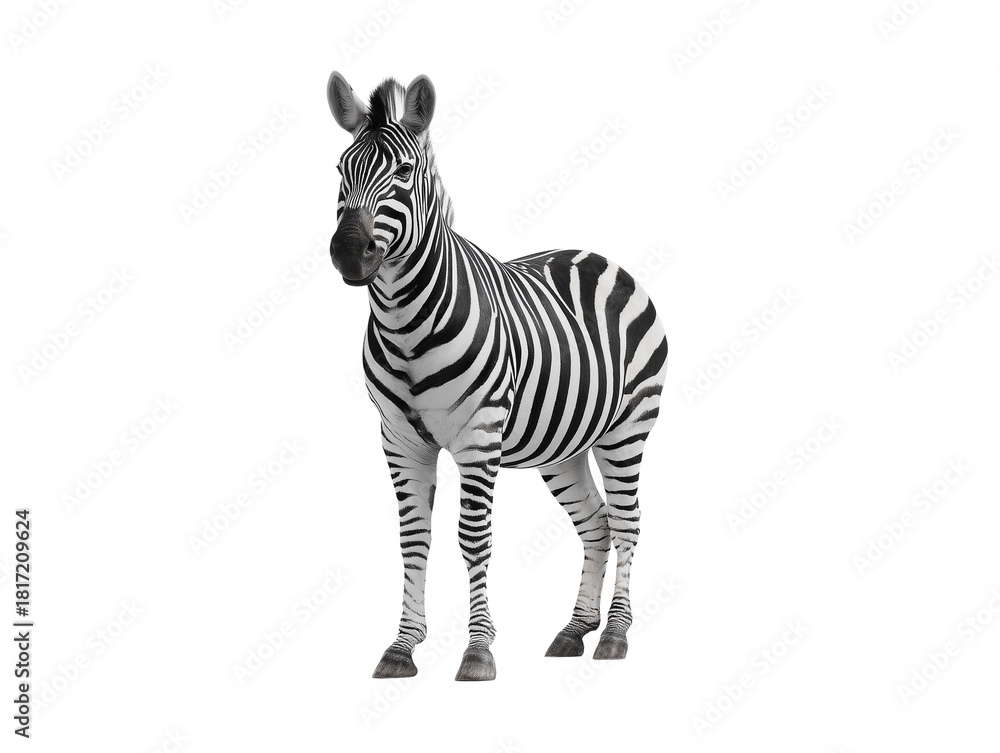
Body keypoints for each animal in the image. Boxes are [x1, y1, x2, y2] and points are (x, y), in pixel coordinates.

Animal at [327, 72, 668, 681]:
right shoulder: (398, 438)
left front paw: (479, 650)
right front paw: (402, 647)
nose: (347, 252)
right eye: (340, 170)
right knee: (597, 523)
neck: (404, 323)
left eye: (405, 172)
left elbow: (471, 539)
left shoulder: (478, 437)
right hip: (565, 447)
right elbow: (413, 540)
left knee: (628, 521)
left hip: (628, 428)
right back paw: (575, 629)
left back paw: (614, 635)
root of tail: (598, 256)